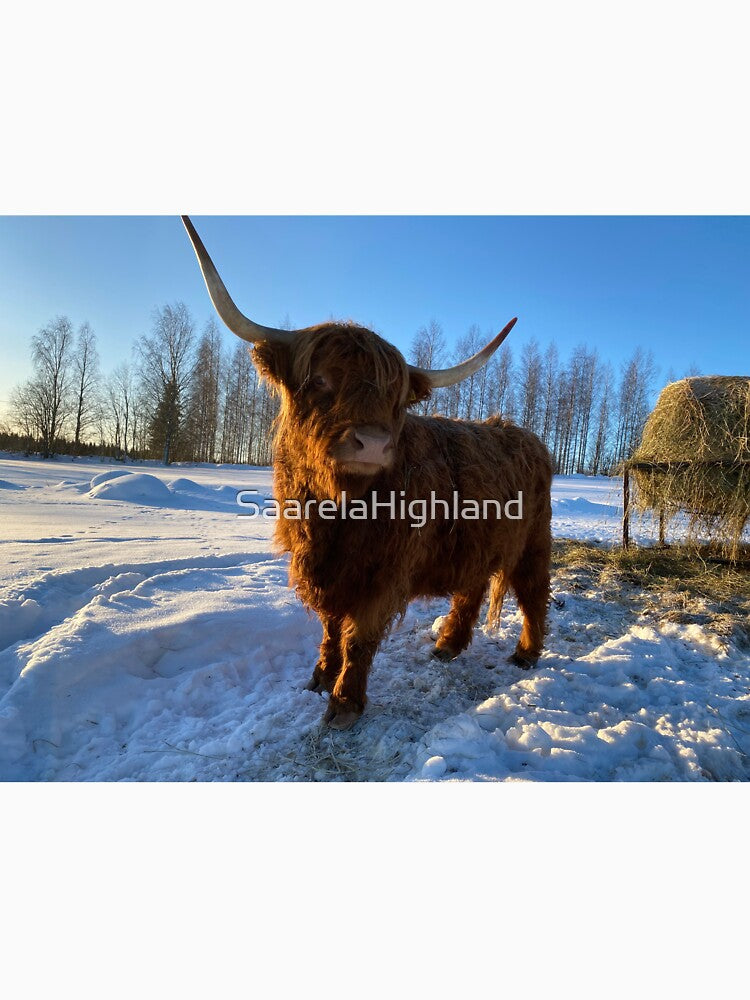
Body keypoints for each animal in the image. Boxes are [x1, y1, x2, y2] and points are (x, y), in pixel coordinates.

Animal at [182, 216, 552, 730]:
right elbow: (330, 625)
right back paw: (448, 645)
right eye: (318, 380)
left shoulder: (384, 571)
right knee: (472, 588)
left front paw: (344, 703)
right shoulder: (322, 567)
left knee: (534, 591)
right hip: (478, 543)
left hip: (534, 538)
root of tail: (526, 435)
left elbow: (358, 634)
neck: (337, 514)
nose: (374, 442)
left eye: (395, 397)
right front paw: (320, 677)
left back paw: (525, 654)